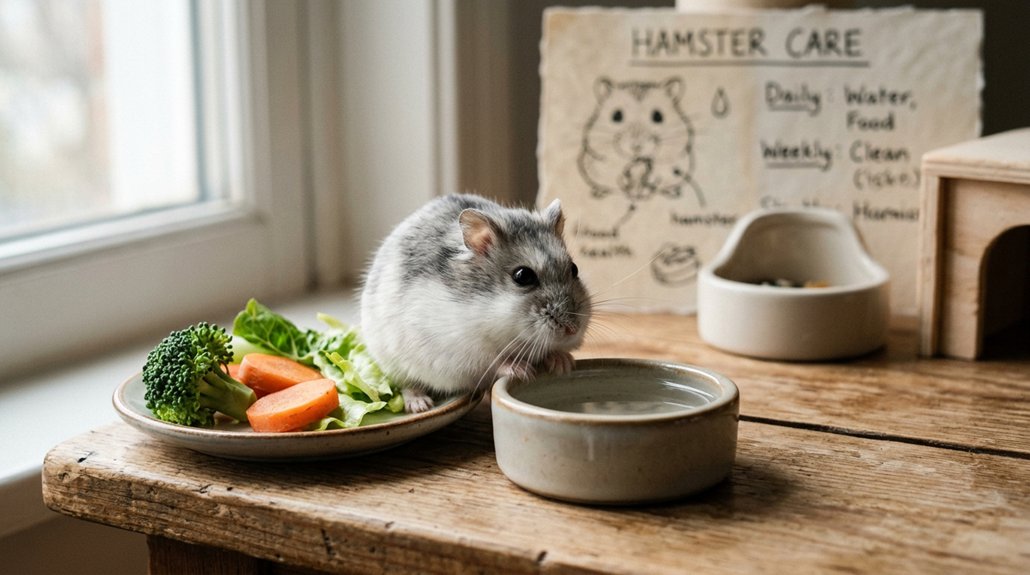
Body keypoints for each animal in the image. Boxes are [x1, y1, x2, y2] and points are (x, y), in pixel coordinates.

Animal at [360, 194, 592, 413]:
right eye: (522, 276)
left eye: (574, 269)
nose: (572, 329)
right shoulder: (462, 350)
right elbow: (493, 361)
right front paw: (522, 370)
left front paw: (563, 363)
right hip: (393, 362)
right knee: (407, 384)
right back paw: (420, 404)